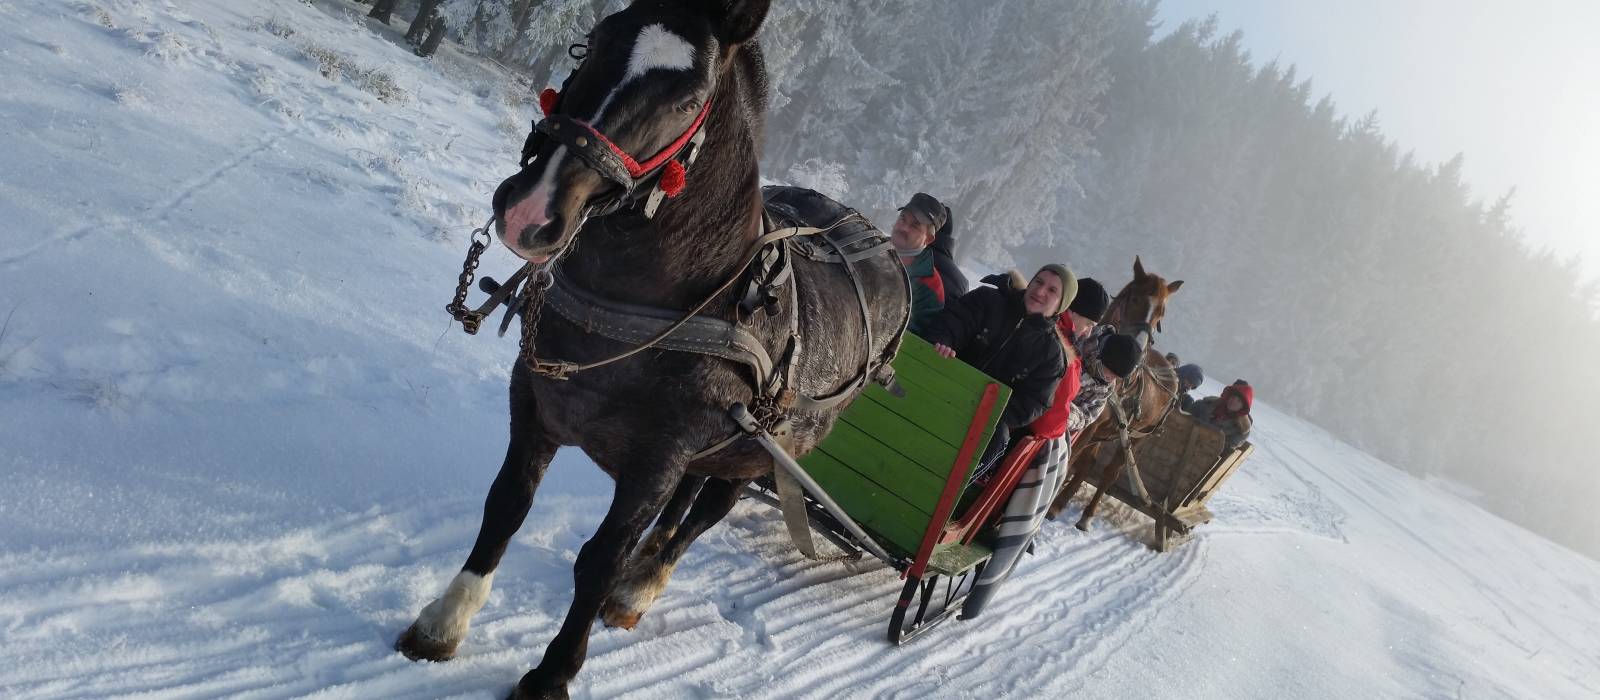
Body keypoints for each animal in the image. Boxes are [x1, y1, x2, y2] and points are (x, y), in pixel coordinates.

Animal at [395, 2, 908, 696]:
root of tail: (879, 246)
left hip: (763, 451)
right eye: (594, 43)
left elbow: (600, 560)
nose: (530, 210)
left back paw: (640, 589)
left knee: (705, 511)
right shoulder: (536, 405)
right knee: (684, 505)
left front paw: (553, 672)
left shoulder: (658, 458)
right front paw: (445, 621)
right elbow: (504, 507)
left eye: (688, 99)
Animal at [1043, 255, 1184, 524]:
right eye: (1135, 298)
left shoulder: (1090, 426)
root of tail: (1171, 371)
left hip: (1135, 438)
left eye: (1161, 314)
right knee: (1090, 463)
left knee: (1111, 472)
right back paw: (1058, 505)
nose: (1137, 349)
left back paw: (1086, 516)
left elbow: (1074, 458)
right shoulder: (1093, 428)